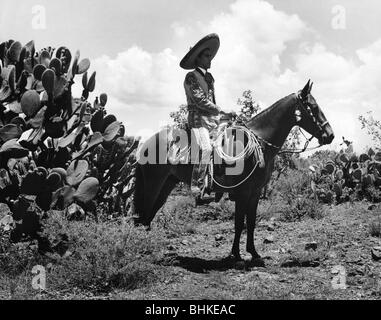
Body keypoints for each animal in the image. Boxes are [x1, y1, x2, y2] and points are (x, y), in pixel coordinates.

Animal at [133, 80, 332, 264]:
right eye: (314, 107)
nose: (330, 135)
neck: (260, 143)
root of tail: (146, 143)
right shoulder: (243, 193)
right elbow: (239, 223)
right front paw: (236, 255)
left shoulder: (255, 193)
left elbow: (251, 222)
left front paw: (253, 253)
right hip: (153, 183)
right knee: (143, 214)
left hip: (167, 184)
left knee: (147, 215)